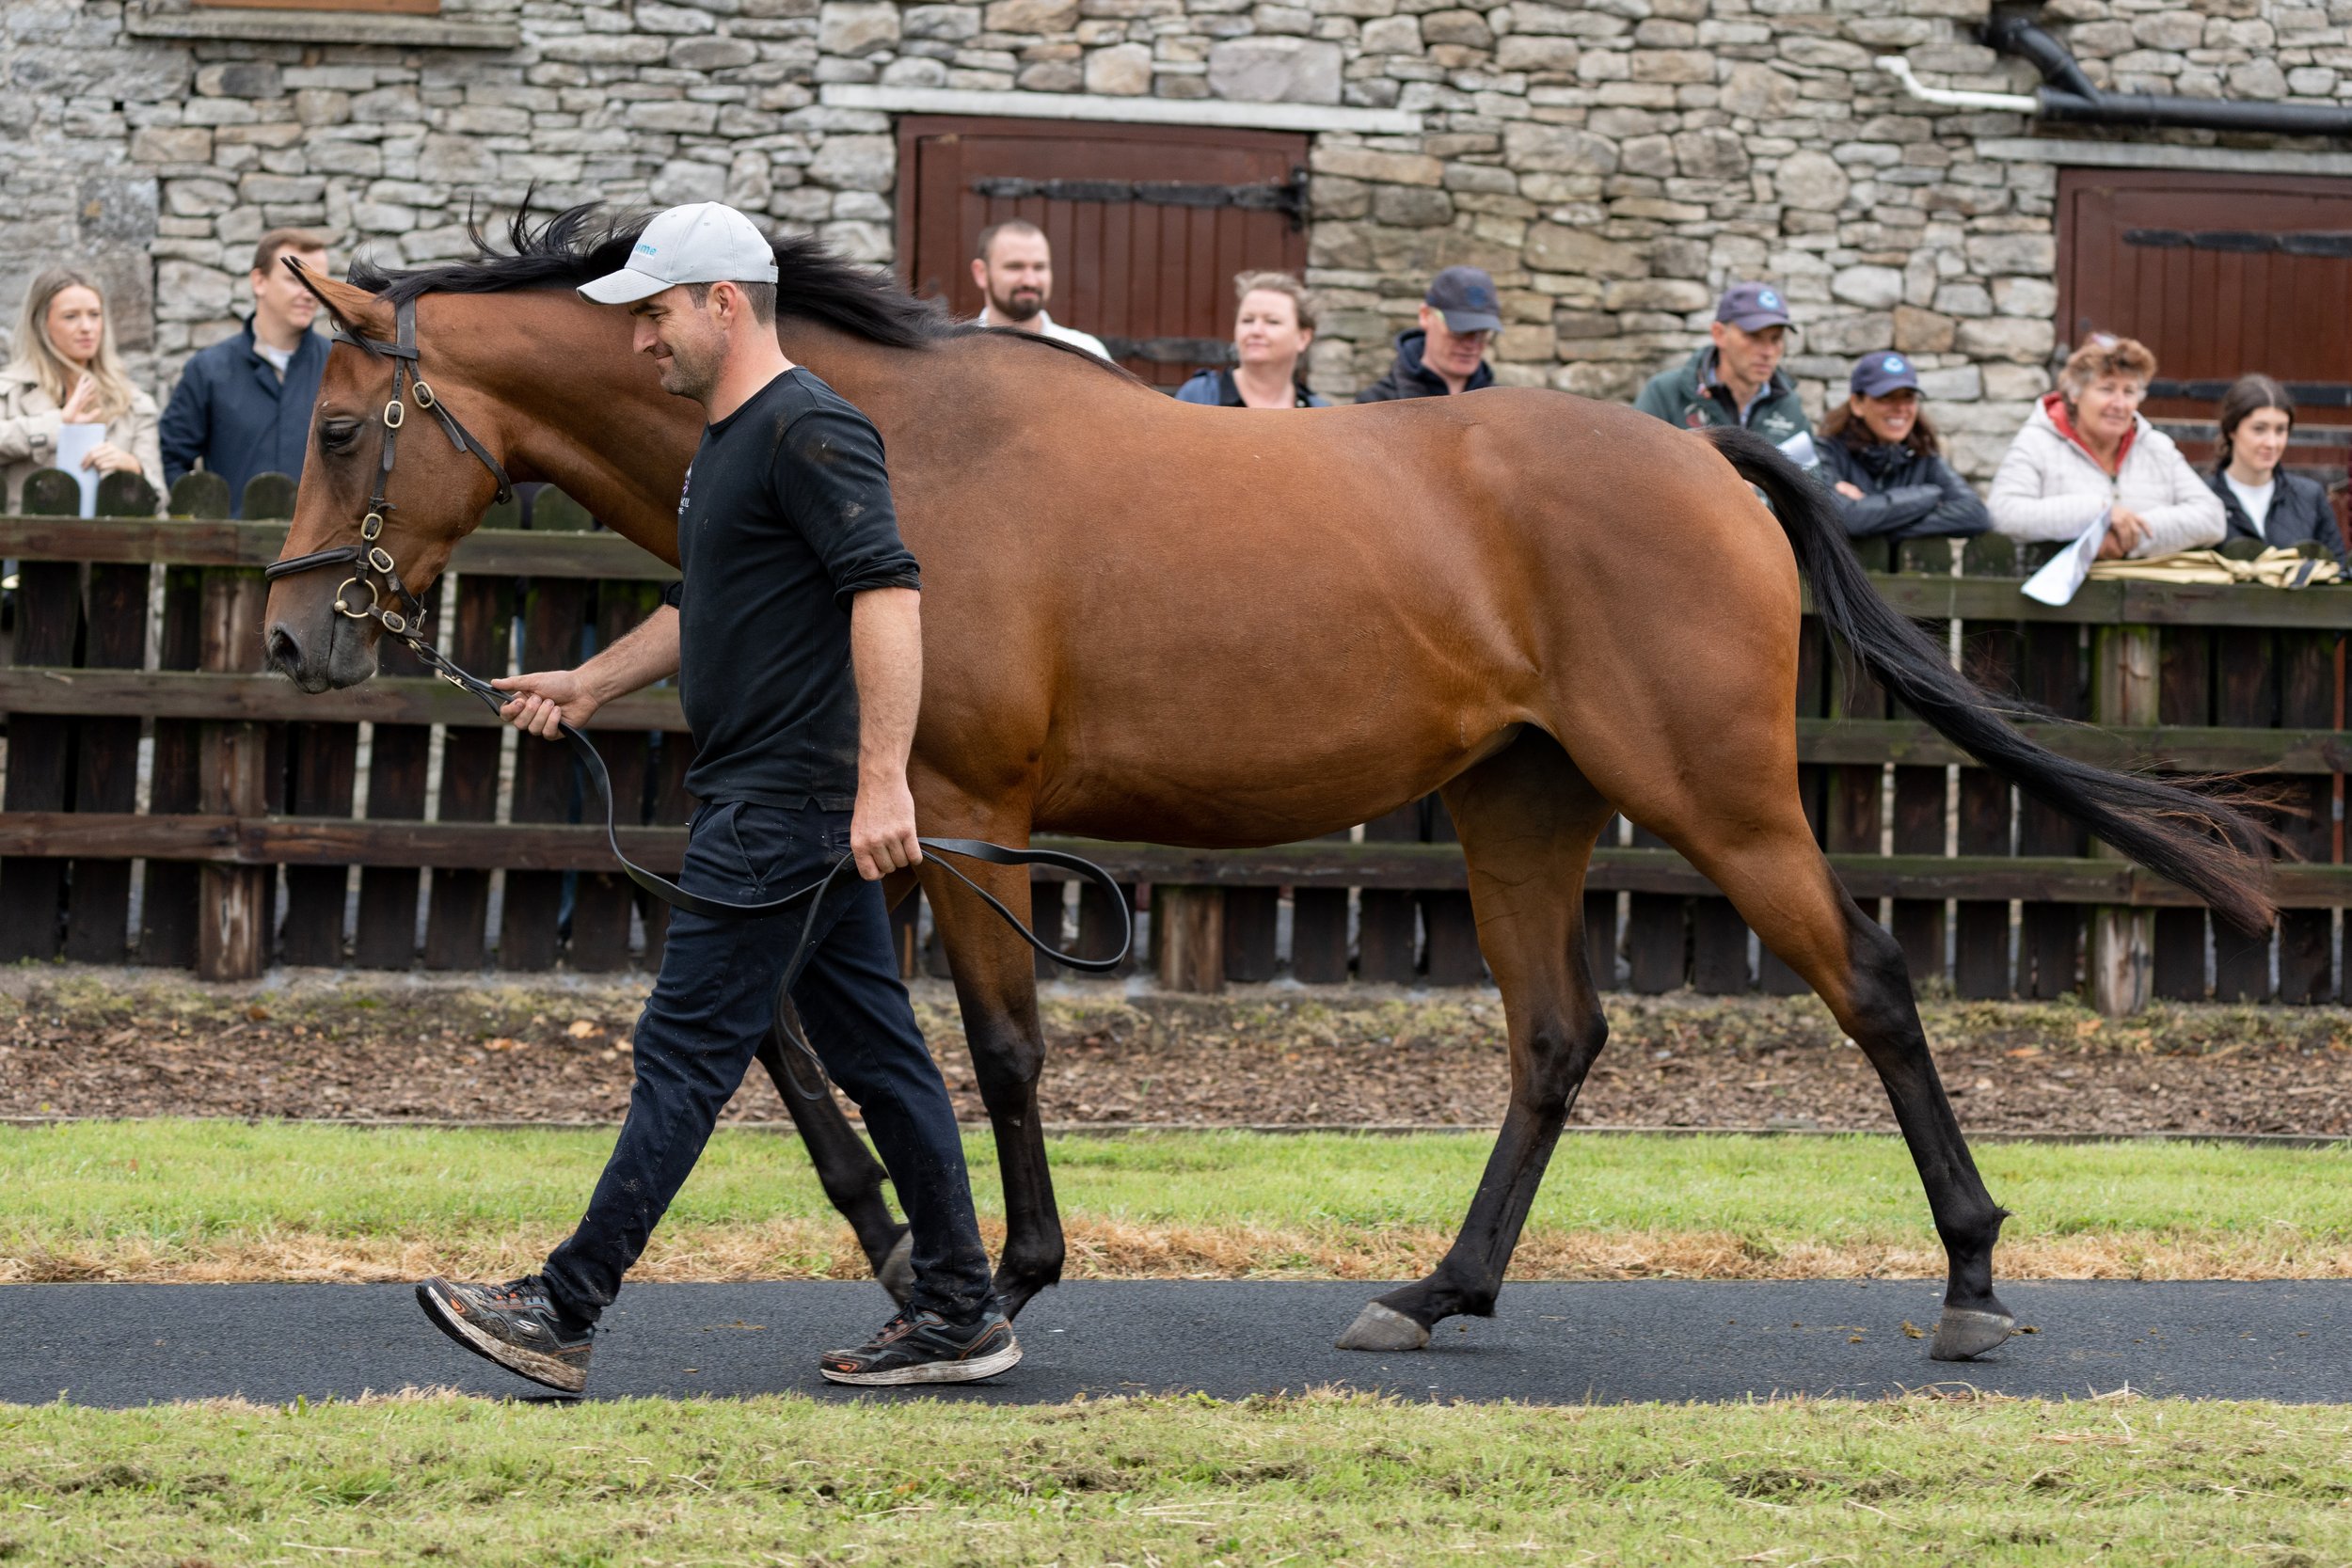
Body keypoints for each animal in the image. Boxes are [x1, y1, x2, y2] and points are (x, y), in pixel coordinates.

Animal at [266, 208, 2267, 1363]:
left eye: (350, 425)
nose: (294, 637)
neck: (896, 452)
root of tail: (1719, 460)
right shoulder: (862, 813)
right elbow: (771, 1023)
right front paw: (892, 1244)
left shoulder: (967, 810)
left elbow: (989, 1049)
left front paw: (998, 1276)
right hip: (1520, 803)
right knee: (1557, 1037)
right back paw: (1440, 1288)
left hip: (1718, 795)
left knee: (1874, 984)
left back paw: (1972, 1280)